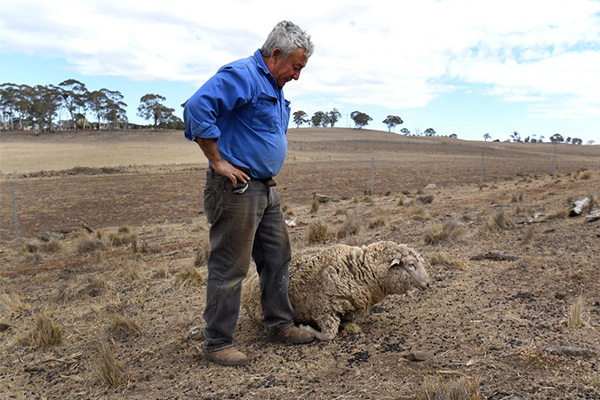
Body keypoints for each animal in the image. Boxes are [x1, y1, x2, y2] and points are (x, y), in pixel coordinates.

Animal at [241, 241, 428, 340]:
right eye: (411, 265)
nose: (427, 284)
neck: (358, 269)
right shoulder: (324, 309)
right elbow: (328, 335)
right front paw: (306, 329)